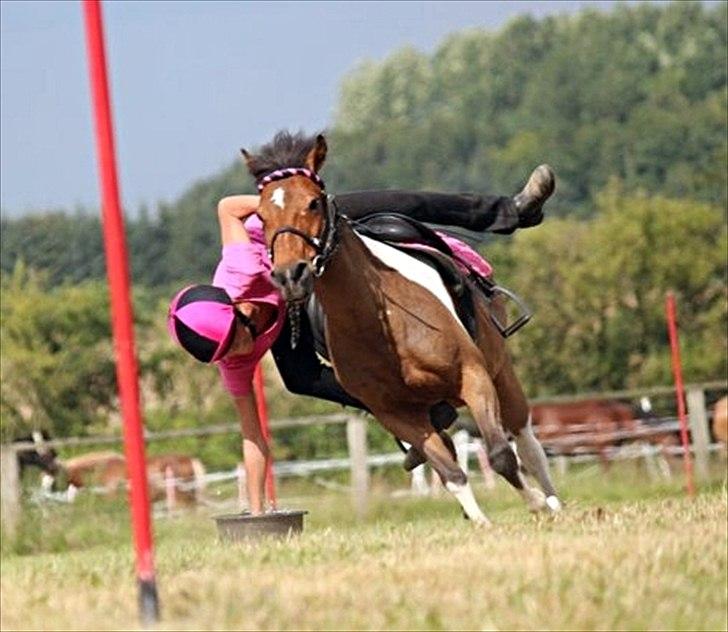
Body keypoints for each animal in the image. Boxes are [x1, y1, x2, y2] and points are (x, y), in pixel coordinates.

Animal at [245, 130, 564, 524]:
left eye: (314, 203)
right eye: (261, 216)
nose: (291, 276)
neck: (381, 326)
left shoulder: (474, 378)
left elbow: (502, 455)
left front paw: (537, 504)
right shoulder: (396, 414)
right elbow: (451, 473)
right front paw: (481, 522)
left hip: (501, 371)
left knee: (527, 443)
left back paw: (554, 502)